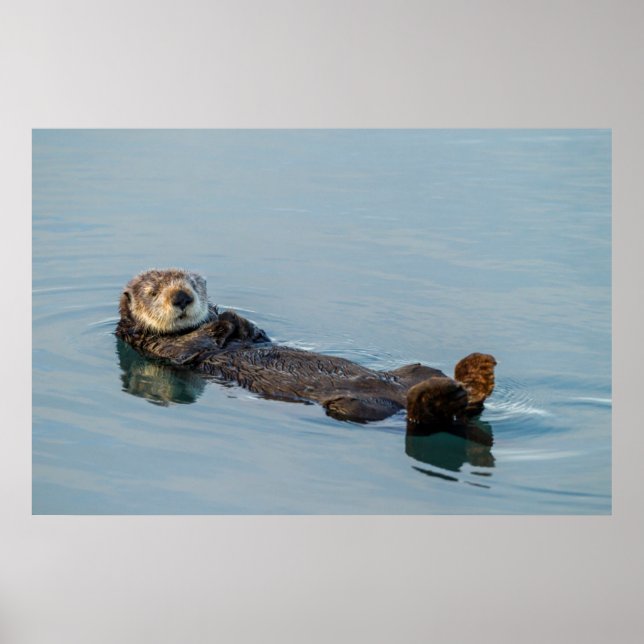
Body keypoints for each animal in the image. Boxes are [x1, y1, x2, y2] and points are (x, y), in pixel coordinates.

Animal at [115, 268, 497, 427]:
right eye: (153, 292)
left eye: (193, 284)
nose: (182, 296)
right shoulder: (161, 349)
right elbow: (194, 345)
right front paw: (222, 321)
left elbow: (255, 334)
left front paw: (231, 317)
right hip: (353, 408)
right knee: (426, 417)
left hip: (415, 371)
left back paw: (477, 374)